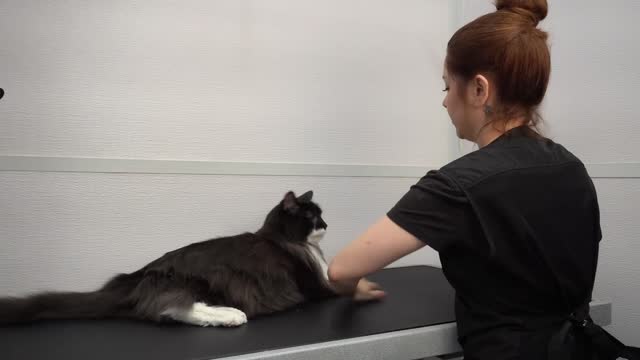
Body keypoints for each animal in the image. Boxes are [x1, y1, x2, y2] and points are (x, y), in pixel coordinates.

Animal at [0, 191, 338, 326]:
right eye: (311, 216)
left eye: (321, 215)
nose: (326, 224)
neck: (281, 239)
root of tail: (136, 277)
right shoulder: (317, 284)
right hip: (209, 280)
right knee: (171, 309)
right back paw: (231, 316)